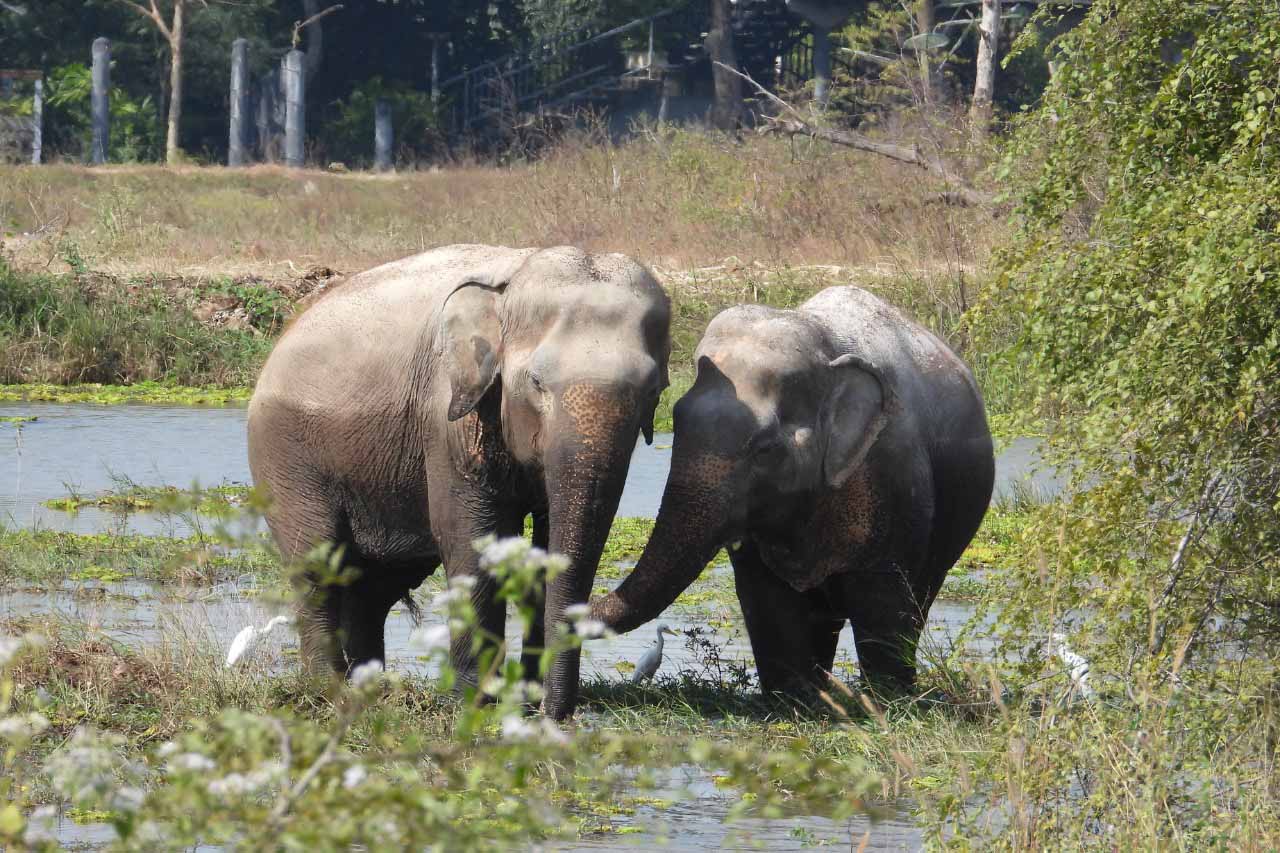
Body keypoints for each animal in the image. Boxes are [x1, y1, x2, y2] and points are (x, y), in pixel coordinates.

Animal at [248, 244, 671, 720]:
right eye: (537, 382)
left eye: (653, 390)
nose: (553, 712)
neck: (513, 280)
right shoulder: (447, 415)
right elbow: (469, 539)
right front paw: (475, 701)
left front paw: (523, 699)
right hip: (284, 454)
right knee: (319, 564)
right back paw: (331, 693)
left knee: (376, 585)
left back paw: (371, 691)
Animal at [590, 286, 993, 695]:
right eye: (676, 420)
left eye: (765, 449)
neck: (825, 349)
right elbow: (769, 603)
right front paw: (794, 700)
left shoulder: (894, 472)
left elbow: (883, 599)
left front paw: (886, 700)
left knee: (918, 600)